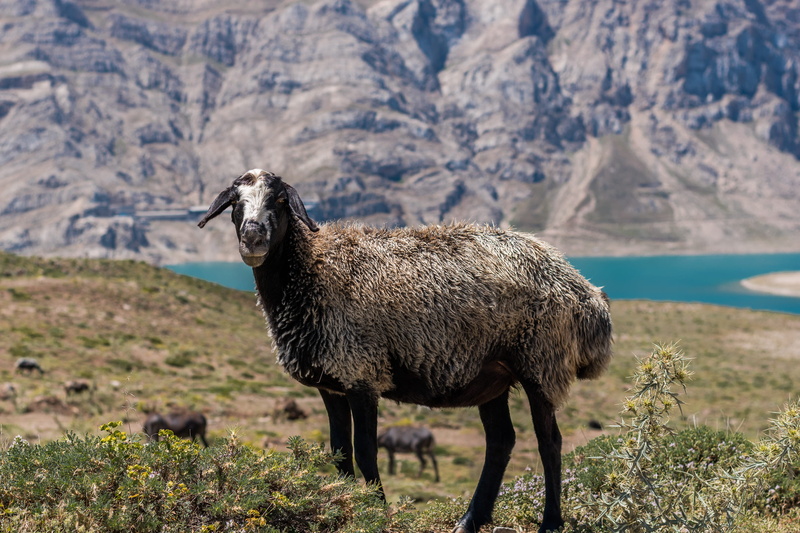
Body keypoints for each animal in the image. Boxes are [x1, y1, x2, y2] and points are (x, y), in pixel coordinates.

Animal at [197, 169, 613, 533]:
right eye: (235, 203)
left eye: (280, 200)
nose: (253, 238)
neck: (312, 269)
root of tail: (587, 293)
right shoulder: (333, 383)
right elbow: (339, 452)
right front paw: (344, 512)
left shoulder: (362, 372)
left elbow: (365, 451)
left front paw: (377, 512)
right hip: (492, 375)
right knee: (501, 441)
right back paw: (469, 521)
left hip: (542, 361)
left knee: (549, 442)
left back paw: (550, 522)